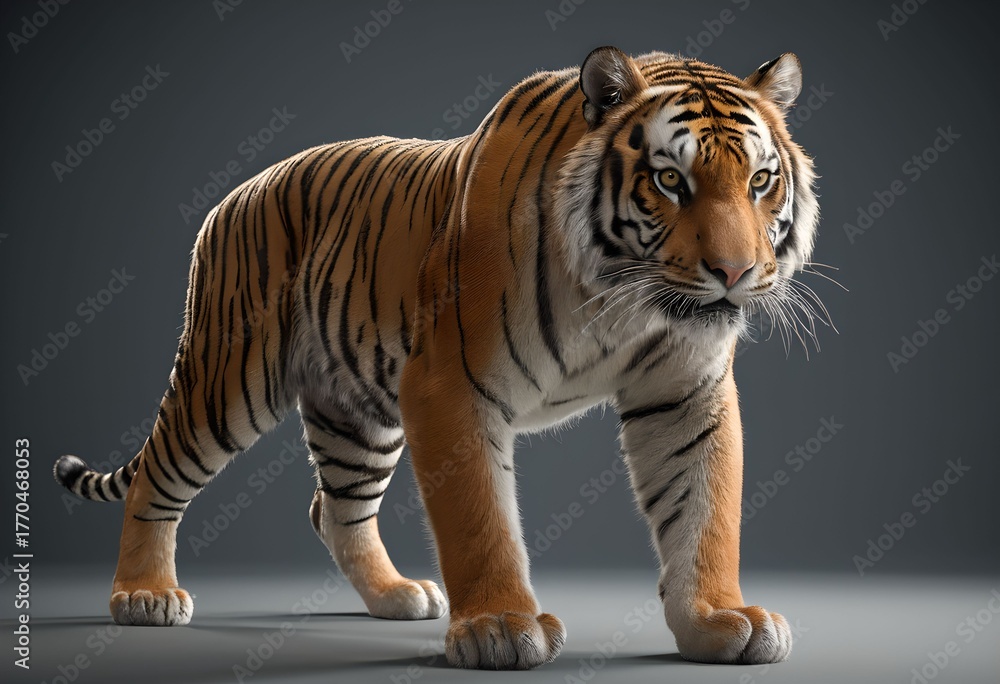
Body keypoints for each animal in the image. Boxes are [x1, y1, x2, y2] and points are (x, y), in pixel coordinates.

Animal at [52, 45, 820, 670]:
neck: (620, 300)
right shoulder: (452, 385)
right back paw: (144, 596)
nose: (735, 272)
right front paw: (500, 628)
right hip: (228, 380)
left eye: (760, 181)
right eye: (668, 181)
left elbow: (705, 511)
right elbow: (479, 518)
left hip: (358, 415)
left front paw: (719, 620)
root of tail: (235, 194)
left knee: (334, 509)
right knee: (158, 474)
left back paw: (396, 595)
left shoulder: (685, 392)